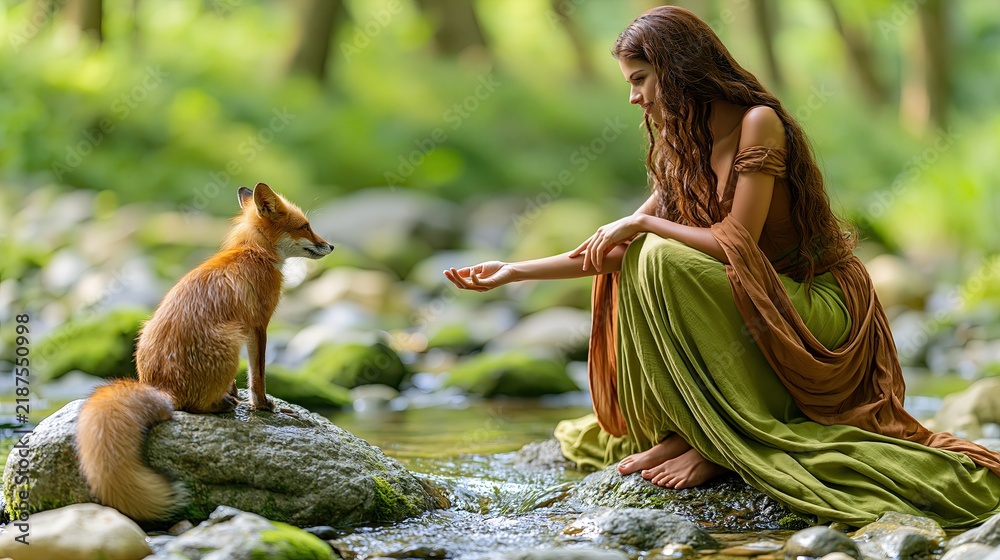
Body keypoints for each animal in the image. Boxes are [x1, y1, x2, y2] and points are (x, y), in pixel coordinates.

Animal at [75, 182, 333, 521]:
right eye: (305, 226)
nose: (331, 246)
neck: (254, 253)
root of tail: (161, 386)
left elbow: (245, 380)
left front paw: (239, 394)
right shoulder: (258, 326)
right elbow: (258, 376)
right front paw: (263, 406)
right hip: (230, 343)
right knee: (194, 407)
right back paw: (220, 405)